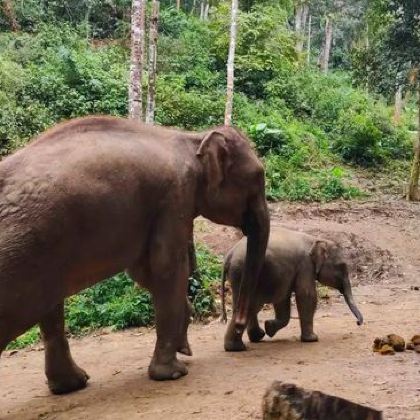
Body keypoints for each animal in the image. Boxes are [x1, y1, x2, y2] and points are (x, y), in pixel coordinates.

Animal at [0, 116, 270, 396]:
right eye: (258, 177)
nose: (238, 329)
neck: (192, 139)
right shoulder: (173, 199)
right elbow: (167, 267)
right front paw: (173, 373)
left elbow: (142, 271)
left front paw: (183, 346)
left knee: (51, 304)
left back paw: (73, 384)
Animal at [221, 226, 362, 352]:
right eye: (342, 266)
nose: (358, 323)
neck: (316, 239)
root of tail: (229, 256)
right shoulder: (305, 265)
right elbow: (307, 295)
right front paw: (312, 339)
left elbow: (283, 299)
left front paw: (269, 327)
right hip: (246, 273)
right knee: (252, 305)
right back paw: (236, 348)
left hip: (239, 275)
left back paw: (256, 337)